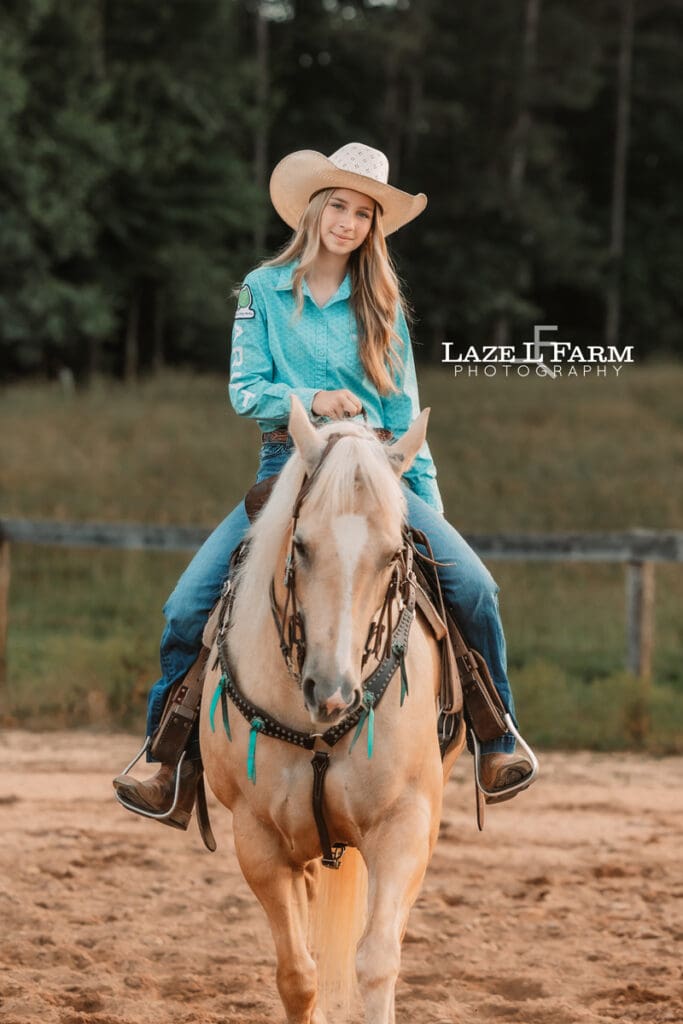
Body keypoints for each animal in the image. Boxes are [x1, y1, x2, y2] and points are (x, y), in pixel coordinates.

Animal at [199, 395, 466, 1024]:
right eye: (300, 545)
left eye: (394, 553)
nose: (333, 691)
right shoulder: (258, 839)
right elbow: (298, 975)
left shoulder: (405, 823)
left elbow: (378, 960)